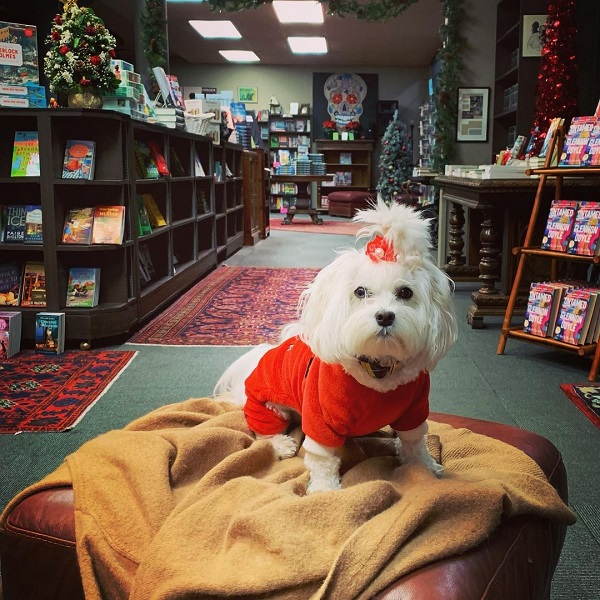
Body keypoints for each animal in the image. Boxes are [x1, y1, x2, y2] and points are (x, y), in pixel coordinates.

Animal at [213, 200, 458, 492]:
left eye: (405, 292)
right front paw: (324, 490)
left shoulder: (415, 410)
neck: (377, 371)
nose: (385, 316)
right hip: (266, 405)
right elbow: (322, 458)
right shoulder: (320, 417)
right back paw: (281, 443)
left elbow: (415, 442)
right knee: (261, 431)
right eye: (360, 291)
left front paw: (425, 469)